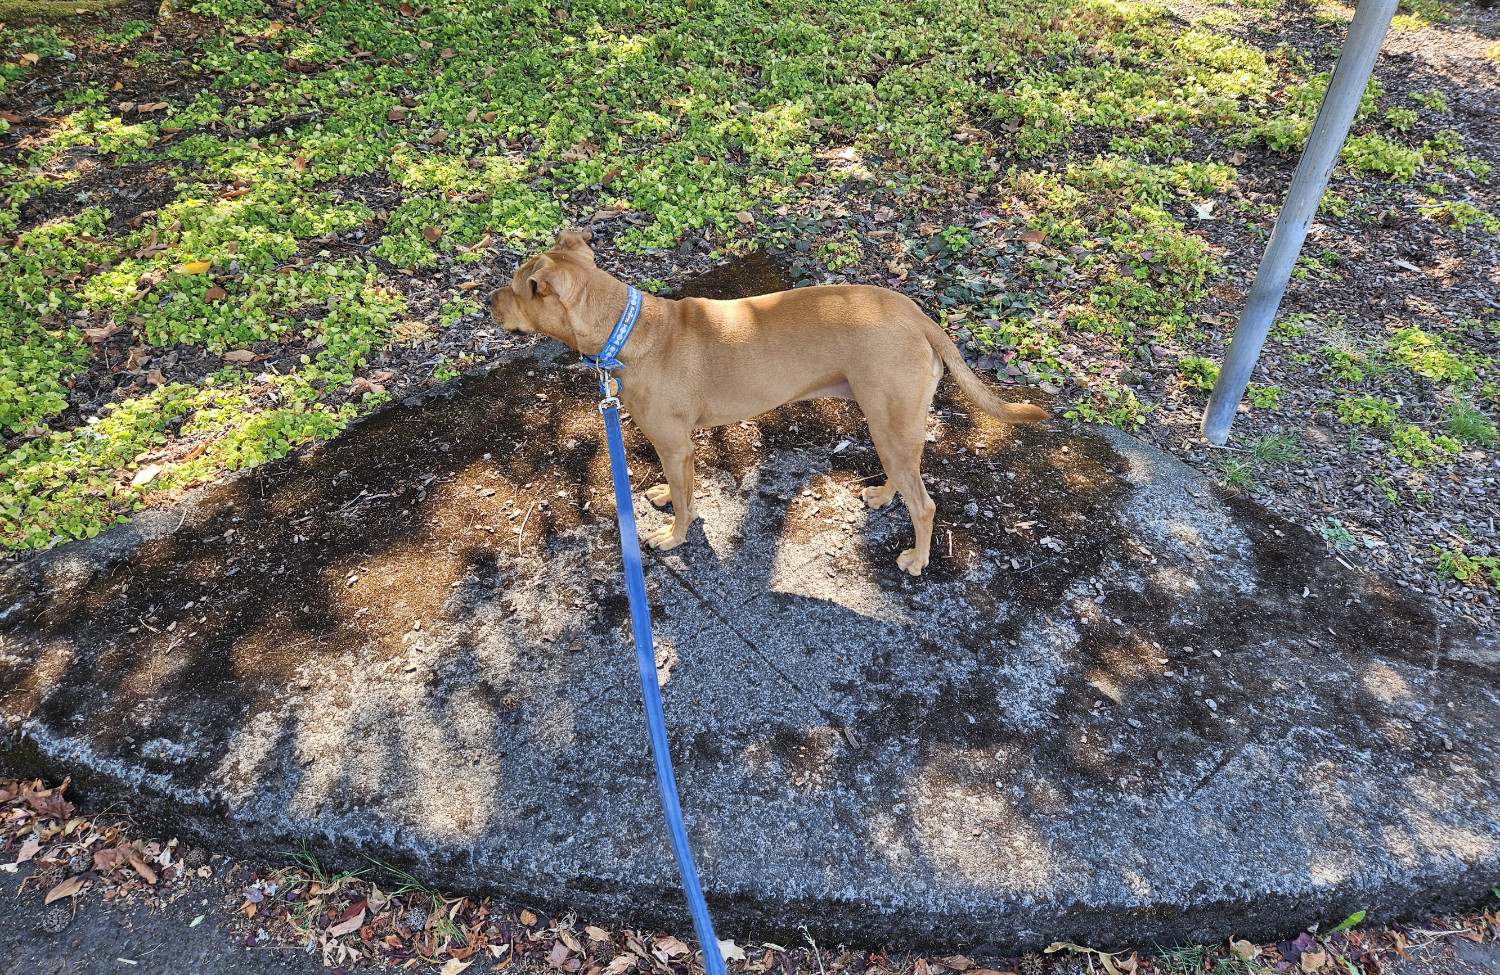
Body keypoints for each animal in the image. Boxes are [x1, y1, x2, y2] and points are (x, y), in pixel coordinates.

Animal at [486, 231, 1050, 573]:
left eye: (515, 287)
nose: (487, 301)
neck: (625, 328)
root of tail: (918, 315)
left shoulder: (672, 443)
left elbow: (687, 504)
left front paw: (674, 537)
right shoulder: (681, 449)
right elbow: (683, 489)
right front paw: (670, 499)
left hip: (889, 422)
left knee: (926, 504)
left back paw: (917, 558)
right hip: (887, 425)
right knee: (905, 476)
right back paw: (883, 495)